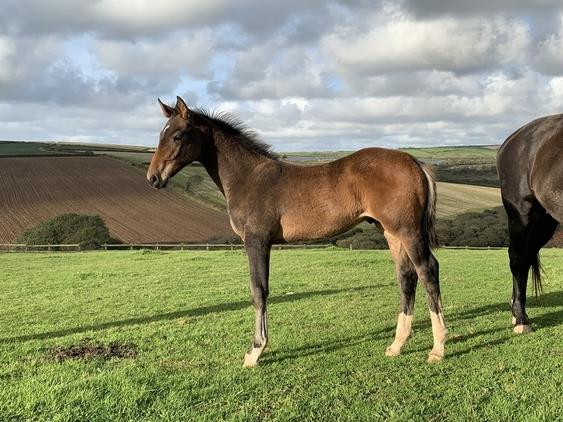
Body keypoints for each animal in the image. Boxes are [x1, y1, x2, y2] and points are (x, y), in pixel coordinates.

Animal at [148, 97, 448, 368]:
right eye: (160, 134)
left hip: (408, 231)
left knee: (427, 270)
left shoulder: (256, 241)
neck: (248, 177)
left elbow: (259, 290)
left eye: (177, 136)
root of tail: (415, 161)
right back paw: (397, 345)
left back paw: (437, 348)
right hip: (390, 232)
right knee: (406, 276)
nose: (153, 178)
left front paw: (255, 351)